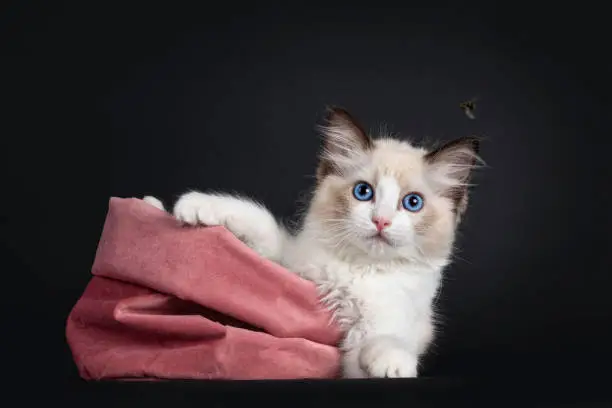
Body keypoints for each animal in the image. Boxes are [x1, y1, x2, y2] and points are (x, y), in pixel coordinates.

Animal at [170, 107, 480, 380]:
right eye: (363, 192)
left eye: (412, 203)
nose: (381, 221)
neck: (359, 270)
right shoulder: (290, 267)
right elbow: (262, 225)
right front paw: (196, 205)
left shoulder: (384, 325)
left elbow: (384, 340)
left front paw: (391, 363)